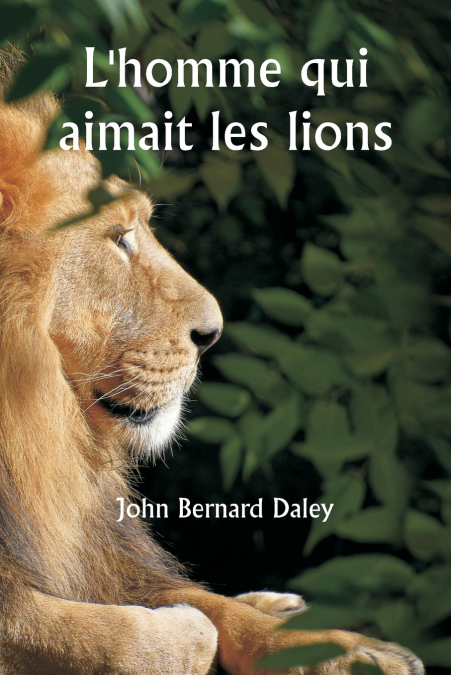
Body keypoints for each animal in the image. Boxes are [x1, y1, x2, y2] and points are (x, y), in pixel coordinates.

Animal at [0, 53, 423, 675]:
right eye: (119, 238)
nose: (212, 334)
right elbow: (137, 635)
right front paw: (180, 630)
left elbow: (213, 606)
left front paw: (351, 651)